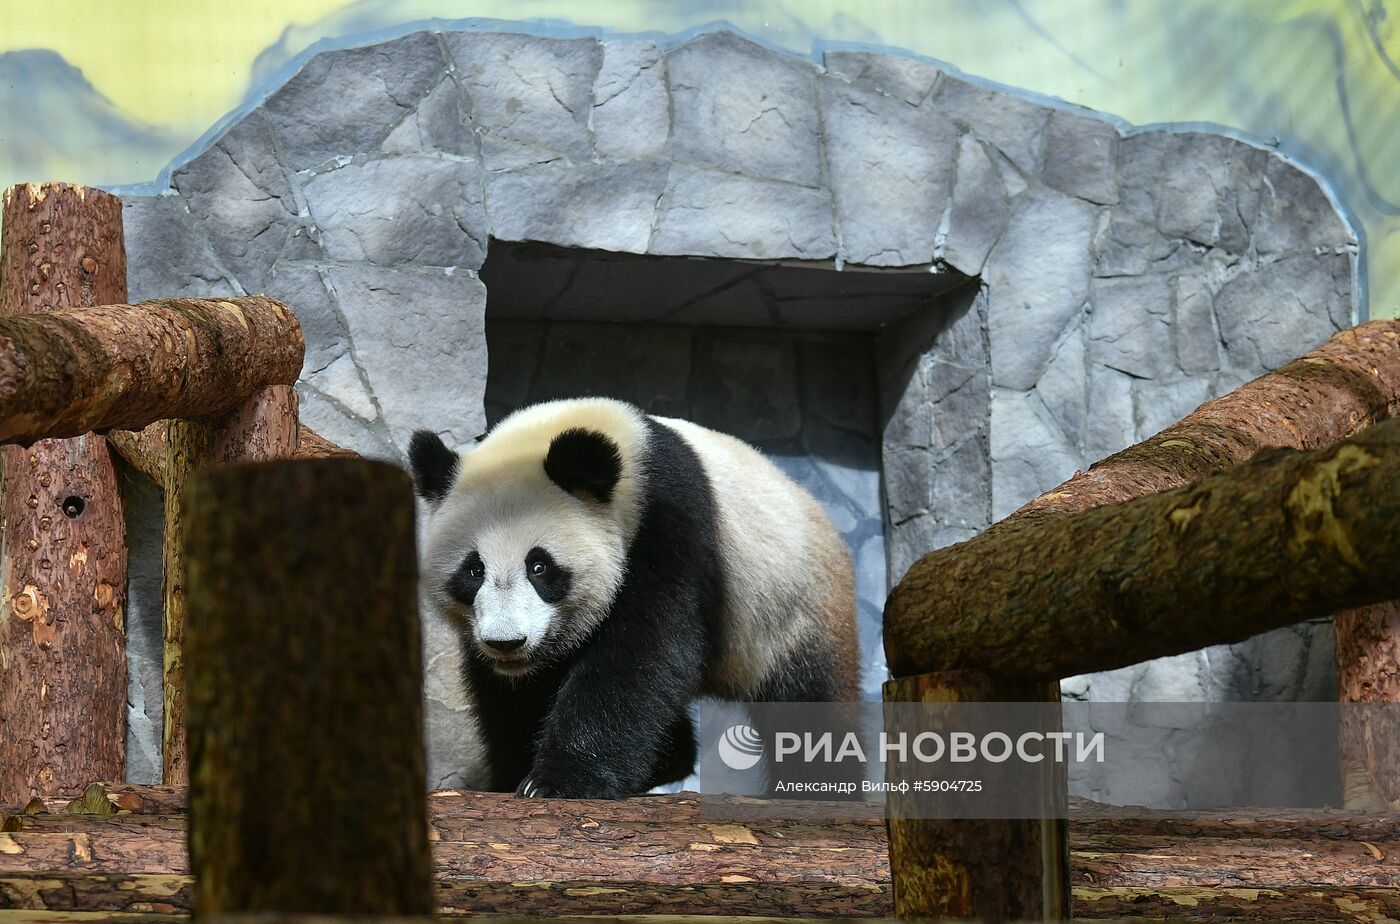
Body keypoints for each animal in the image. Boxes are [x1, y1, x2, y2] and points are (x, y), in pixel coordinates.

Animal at [408, 397, 856, 800]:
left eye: (539, 567)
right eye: (473, 570)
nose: (506, 643)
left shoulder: (669, 527)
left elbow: (641, 653)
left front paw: (561, 780)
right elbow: (509, 693)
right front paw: (511, 774)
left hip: (792, 608)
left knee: (810, 705)